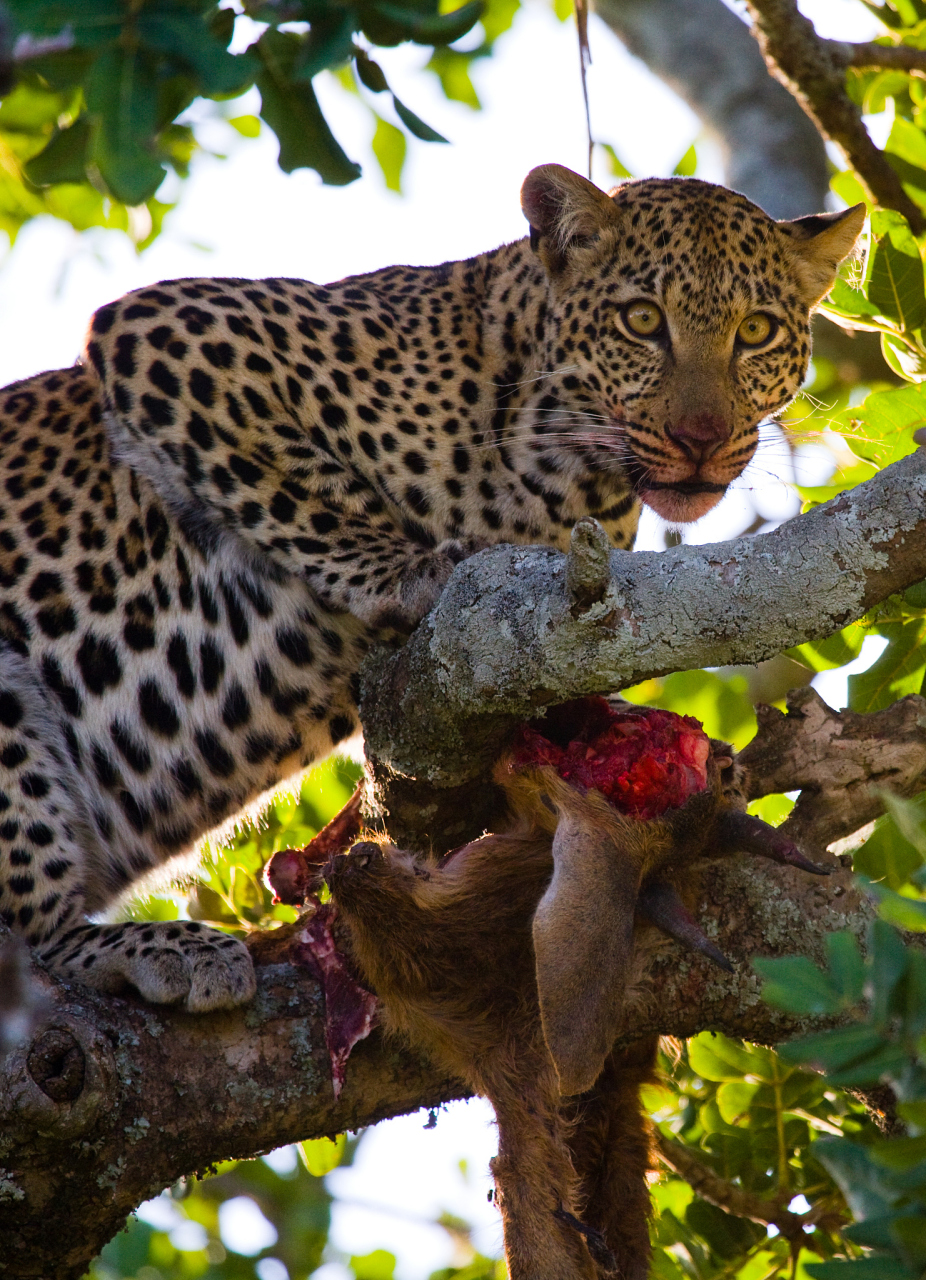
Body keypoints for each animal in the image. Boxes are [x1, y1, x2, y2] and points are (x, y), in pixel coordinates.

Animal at [0, 167, 860, 1008]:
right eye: (643, 321)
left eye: (756, 332)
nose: (701, 439)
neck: (569, 472)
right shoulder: (169, 329)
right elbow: (298, 483)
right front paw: (410, 572)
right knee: (34, 944)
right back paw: (162, 949)